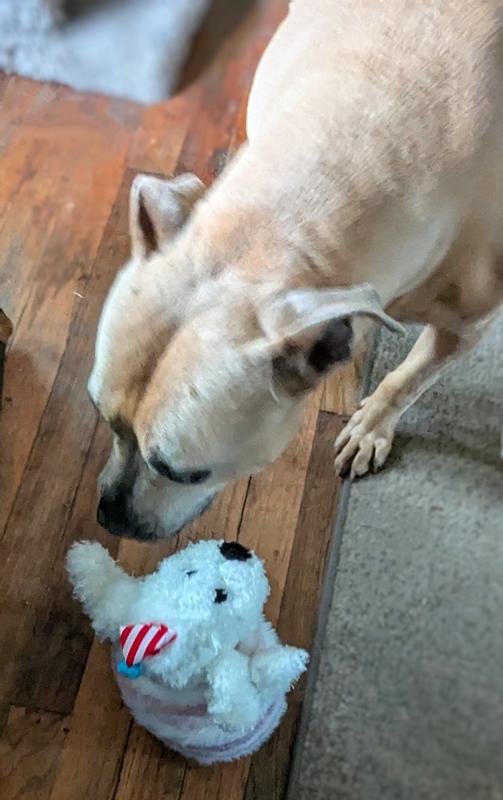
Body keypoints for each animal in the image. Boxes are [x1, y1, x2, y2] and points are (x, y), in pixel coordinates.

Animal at [88, 0, 503, 539]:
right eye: (101, 416)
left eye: (183, 472)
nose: (107, 517)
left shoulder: (465, 328)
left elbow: (407, 380)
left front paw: (372, 425)